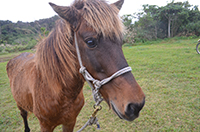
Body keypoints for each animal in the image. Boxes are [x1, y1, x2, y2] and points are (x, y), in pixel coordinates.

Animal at [5, 0, 144, 131]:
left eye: (121, 40)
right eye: (90, 41)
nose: (136, 105)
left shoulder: (70, 122)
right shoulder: (45, 126)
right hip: (19, 104)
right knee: (23, 115)